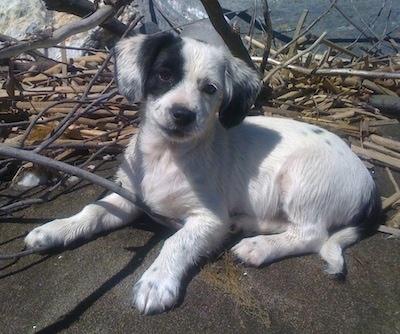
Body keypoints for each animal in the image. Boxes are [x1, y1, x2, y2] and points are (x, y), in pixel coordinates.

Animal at [25, 32, 382, 314]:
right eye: (164, 76)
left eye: (210, 89)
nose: (182, 114)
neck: (167, 155)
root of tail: (370, 184)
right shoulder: (130, 199)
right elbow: (94, 210)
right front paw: (56, 229)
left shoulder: (207, 217)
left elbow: (176, 241)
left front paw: (156, 282)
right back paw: (245, 225)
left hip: (301, 179)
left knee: (311, 234)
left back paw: (258, 247)